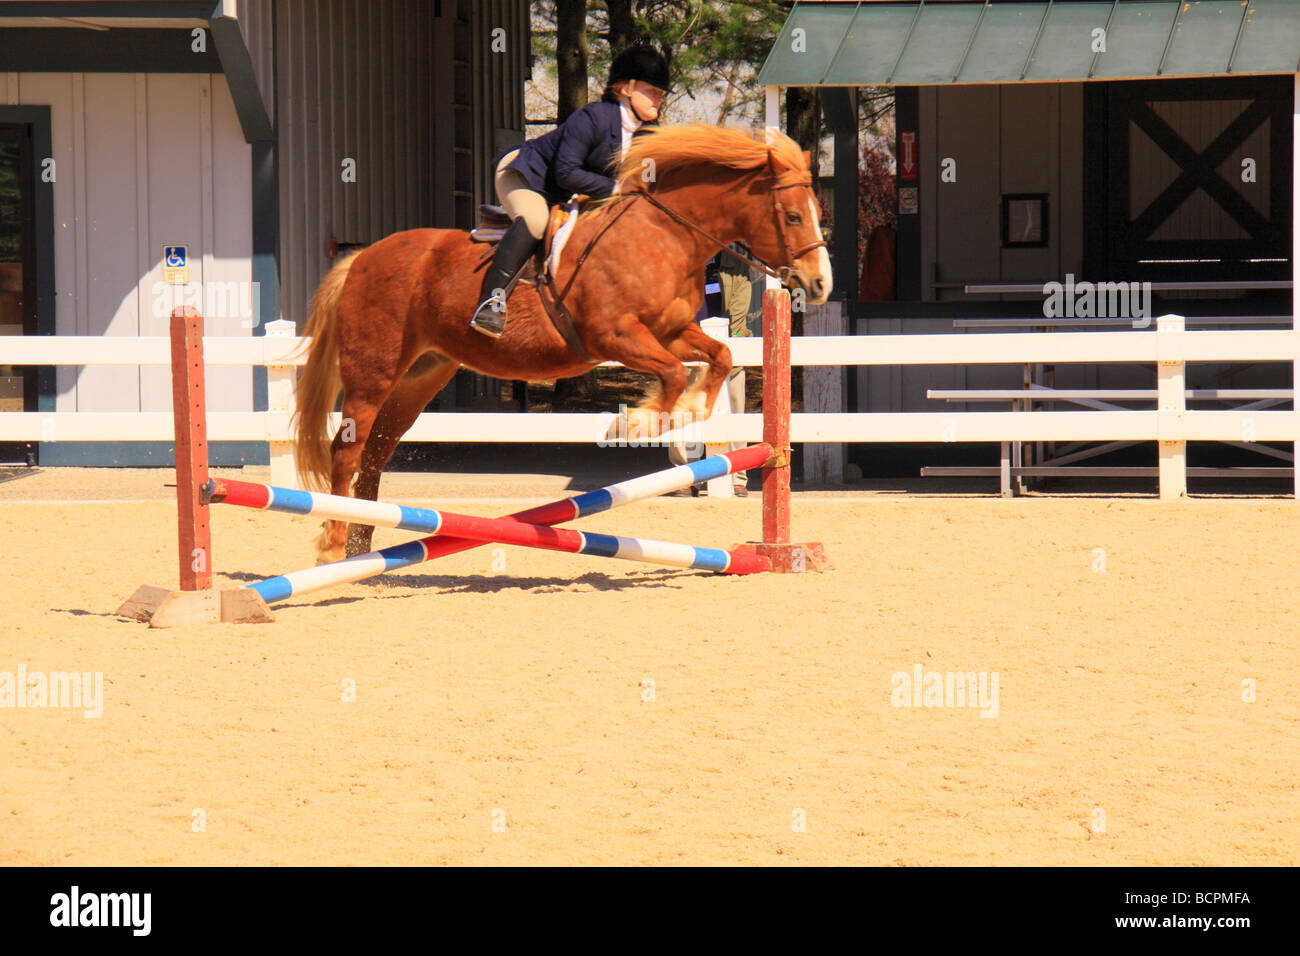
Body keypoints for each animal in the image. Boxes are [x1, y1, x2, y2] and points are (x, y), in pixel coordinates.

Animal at [292, 125, 832, 564]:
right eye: (792, 216)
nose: (820, 285)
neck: (664, 236)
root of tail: (361, 259)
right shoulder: (616, 335)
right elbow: (673, 373)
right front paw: (636, 423)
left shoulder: (672, 332)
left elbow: (719, 356)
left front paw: (691, 412)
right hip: (374, 372)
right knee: (347, 450)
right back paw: (334, 546)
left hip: (421, 375)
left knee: (377, 450)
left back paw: (362, 544)